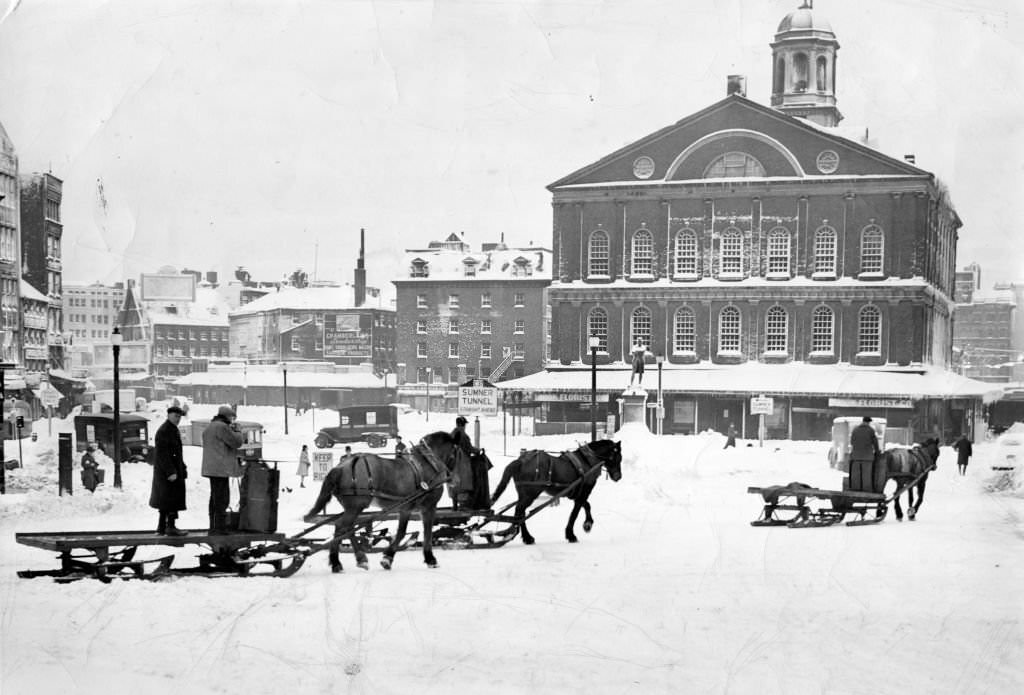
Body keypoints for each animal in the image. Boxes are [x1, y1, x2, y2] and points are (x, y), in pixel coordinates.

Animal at [303, 431, 460, 573]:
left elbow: (403, 532)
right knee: (342, 527)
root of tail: (340, 467)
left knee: (345, 529)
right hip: (356, 506)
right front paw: (429, 559)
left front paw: (389, 557)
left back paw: (353, 559)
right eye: (457, 452)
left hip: (351, 507)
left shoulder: (407, 508)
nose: (455, 480)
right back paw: (344, 561)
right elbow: (421, 532)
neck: (428, 465)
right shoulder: (426, 507)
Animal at [489, 440, 622, 544]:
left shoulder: (576, 494)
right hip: (530, 494)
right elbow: (575, 514)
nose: (618, 477)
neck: (587, 461)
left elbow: (587, 505)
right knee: (520, 511)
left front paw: (587, 524)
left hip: (523, 494)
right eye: (617, 457)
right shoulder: (583, 492)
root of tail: (521, 460)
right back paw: (527, 537)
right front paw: (573, 533)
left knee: (520, 512)